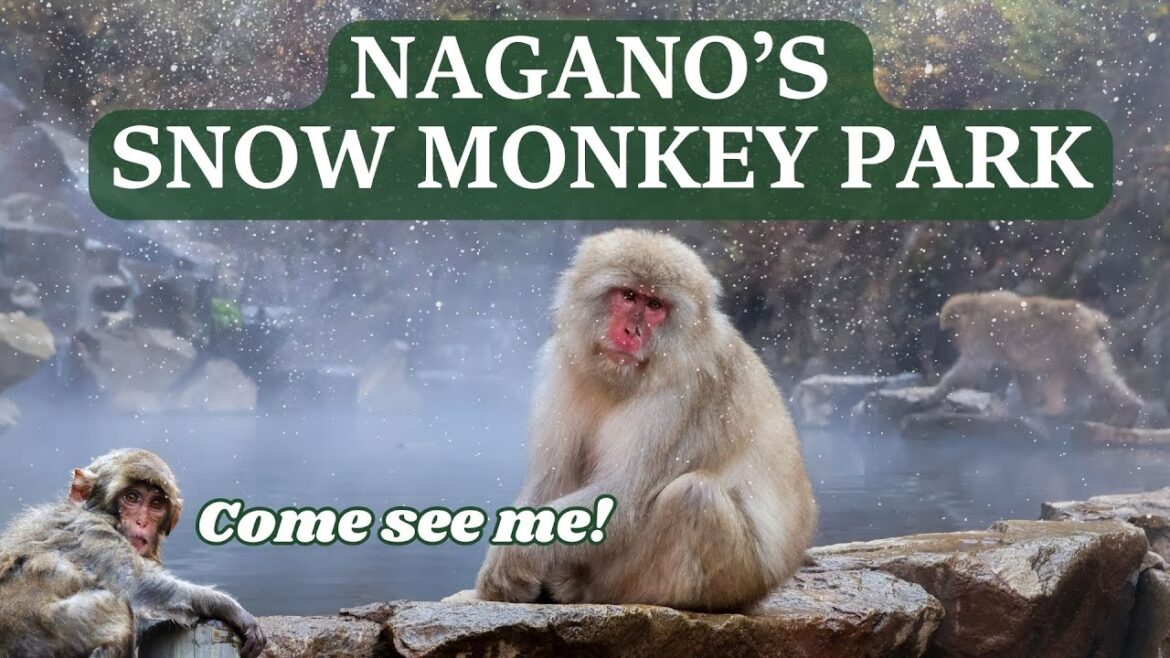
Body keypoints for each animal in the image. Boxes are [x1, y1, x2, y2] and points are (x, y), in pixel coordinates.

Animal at [0, 448, 267, 658]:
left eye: (156, 504)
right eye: (132, 498)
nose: (141, 522)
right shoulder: (93, 533)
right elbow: (140, 586)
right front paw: (231, 608)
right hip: (36, 634)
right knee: (117, 612)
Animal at [473, 229, 817, 612]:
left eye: (655, 306)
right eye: (628, 296)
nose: (631, 332)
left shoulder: (684, 394)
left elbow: (625, 498)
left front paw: (511, 560)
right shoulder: (562, 367)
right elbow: (553, 478)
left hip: (735, 581)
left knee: (694, 496)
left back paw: (587, 588)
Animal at [922, 290, 1145, 425]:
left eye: (951, 332)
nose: (953, 342)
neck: (975, 306)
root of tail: (1093, 317)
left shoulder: (982, 334)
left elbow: (972, 368)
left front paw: (936, 393)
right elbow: (1024, 374)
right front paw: (1031, 407)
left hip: (1078, 342)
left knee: (1095, 375)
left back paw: (1129, 410)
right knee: (1085, 377)